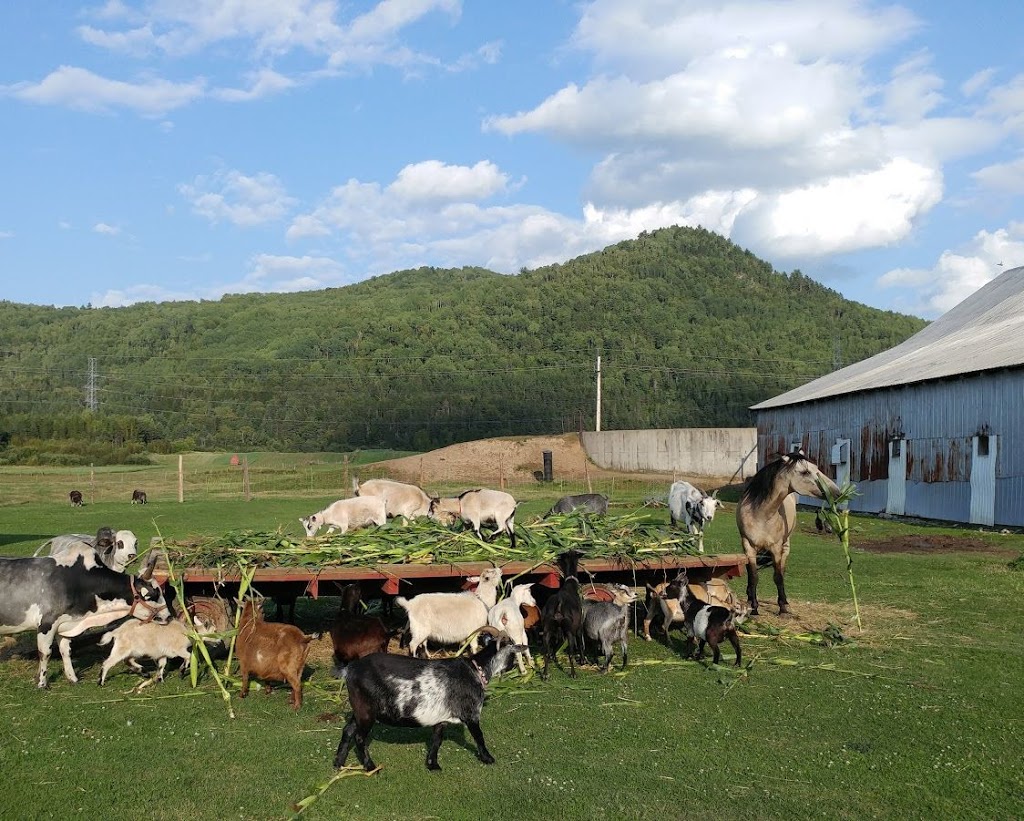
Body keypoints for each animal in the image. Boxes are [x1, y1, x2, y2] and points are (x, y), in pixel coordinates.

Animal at [0, 548, 169, 687]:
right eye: (153, 595)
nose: (168, 616)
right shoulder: (47, 623)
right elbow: (45, 653)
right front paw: (42, 683)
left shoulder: (65, 624)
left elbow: (65, 651)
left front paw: (72, 678)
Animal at [335, 626, 524, 769]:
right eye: (512, 651)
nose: (513, 665)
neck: (476, 670)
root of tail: (350, 669)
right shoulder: (471, 714)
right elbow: (479, 736)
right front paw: (488, 758)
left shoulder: (441, 719)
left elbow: (436, 740)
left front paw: (433, 765)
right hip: (366, 711)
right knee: (359, 737)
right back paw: (370, 767)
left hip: (359, 710)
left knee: (348, 730)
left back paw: (338, 763)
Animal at [737, 448, 839, 614]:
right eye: (805, 472)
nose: (836, 492)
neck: (761, 514)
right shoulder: (748, 546)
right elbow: (753, 576)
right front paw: (754, 608)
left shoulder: (776, 547)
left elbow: (778, 576)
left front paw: (783, 608)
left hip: (785, 546)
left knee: (782, 571)